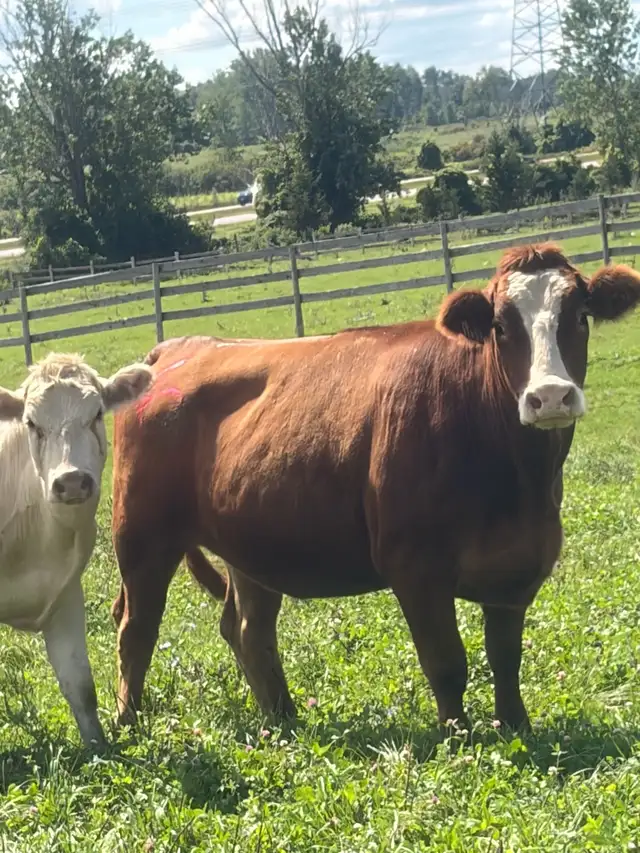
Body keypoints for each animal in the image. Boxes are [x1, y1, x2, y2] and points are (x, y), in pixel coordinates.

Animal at [0, 352, 152, 750]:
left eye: (97, 413)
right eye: (32, 423)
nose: (70, 481)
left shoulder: (66, 595)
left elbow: (81, 687)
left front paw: (99, 750)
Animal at [109, 243, 640, 734]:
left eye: (580, 316)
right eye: (501, 326)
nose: (549, 396)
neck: (517, 479)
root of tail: (177, 348)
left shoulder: (518, 564)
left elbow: (506, 660)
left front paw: (516, 728)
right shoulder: (415, 567)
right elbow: (447, 663)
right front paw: (458, 738)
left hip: (248, 542)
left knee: (247, 629)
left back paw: (283, 722)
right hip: (142, 536)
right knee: (136, 628)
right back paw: (128, 723)